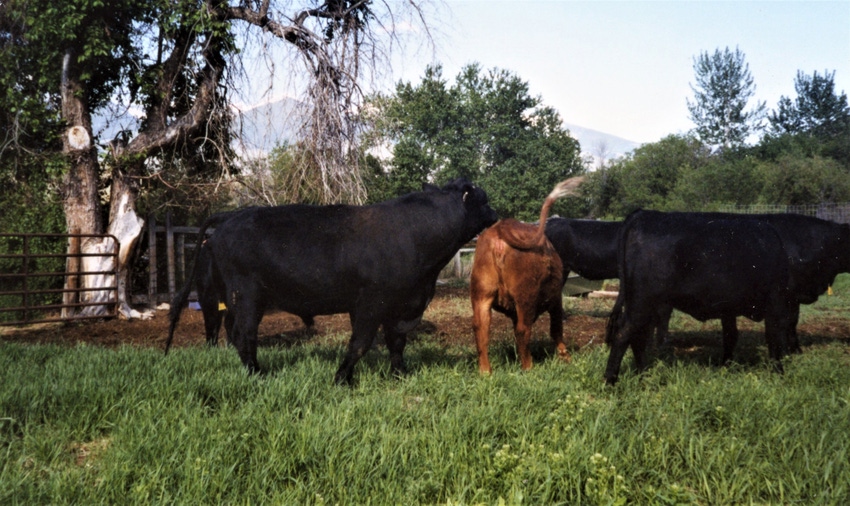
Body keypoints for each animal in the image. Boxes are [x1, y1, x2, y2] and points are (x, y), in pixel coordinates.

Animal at [166, 178, 496, 384]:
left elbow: (396, 343)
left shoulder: (399, 306)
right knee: (242, 334)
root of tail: (232, 216)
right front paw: (341, 378)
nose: (495, 214)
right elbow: (360, 344)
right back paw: (258, 374)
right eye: (483, 199)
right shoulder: (370, 304)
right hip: (246, 296)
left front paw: (400, 374)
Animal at [470, 177, 584, 372]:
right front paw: (565, 357)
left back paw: (486, 371)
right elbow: (556, 329)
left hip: (482, 294)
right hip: (525, 296)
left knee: (481, 327)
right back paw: (529, 367)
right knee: (523, 329)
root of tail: (501, 228)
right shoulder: (556, 299)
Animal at [600, 210, 792, 384]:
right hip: (641, 301)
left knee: (637, 337)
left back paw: (644, 376)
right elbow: (774, 337)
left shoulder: (731, 308)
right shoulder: (776, 300)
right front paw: (779, 373)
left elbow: (732, 336)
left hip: (645, 303)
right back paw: (610, 381)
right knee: (623, 333)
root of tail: (644, 214)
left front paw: (727, 368)